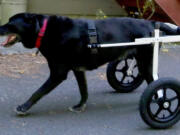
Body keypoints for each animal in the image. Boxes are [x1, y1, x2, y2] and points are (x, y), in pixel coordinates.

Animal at [0, 12, 179, 114]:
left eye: (10, 22)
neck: (44, 31)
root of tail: (151, 23)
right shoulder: (78, 70)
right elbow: (83, 91)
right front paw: (80, 106)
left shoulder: (58, 73)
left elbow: (38, 92)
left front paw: (24, 107)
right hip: (141, 62)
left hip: (145, 62)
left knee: (156, 83)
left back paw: (160, 102)